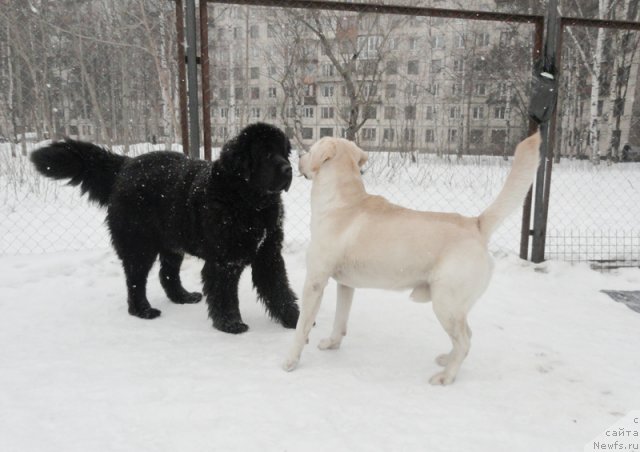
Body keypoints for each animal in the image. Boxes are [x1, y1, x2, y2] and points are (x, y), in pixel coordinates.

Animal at [30, 122, 300, 334]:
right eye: (265, 153)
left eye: (283, 152)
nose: (288, 169)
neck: (249, 202)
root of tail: (126, 166)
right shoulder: (224, 261)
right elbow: (225, 294)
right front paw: (230, 324)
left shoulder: (268, 253)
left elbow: (279, 288)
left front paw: (294, 319)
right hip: (139, 245)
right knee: (135, 280)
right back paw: (143, 310)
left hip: (173, 241)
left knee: (166, 274)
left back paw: (182, 297)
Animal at [284, 132, 540, 384]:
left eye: (311, 149)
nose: (298, 156)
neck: (343, 201)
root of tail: (475, 224)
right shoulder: (346, 284)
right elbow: (340, 320)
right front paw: (332, 343)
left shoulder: (315, 282)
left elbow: (302, 326)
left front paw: (290, 361)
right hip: (456, 307)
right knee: (467, 335)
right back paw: (447, 360)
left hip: (445, 303)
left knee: (464, 341)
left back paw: (446, 376)